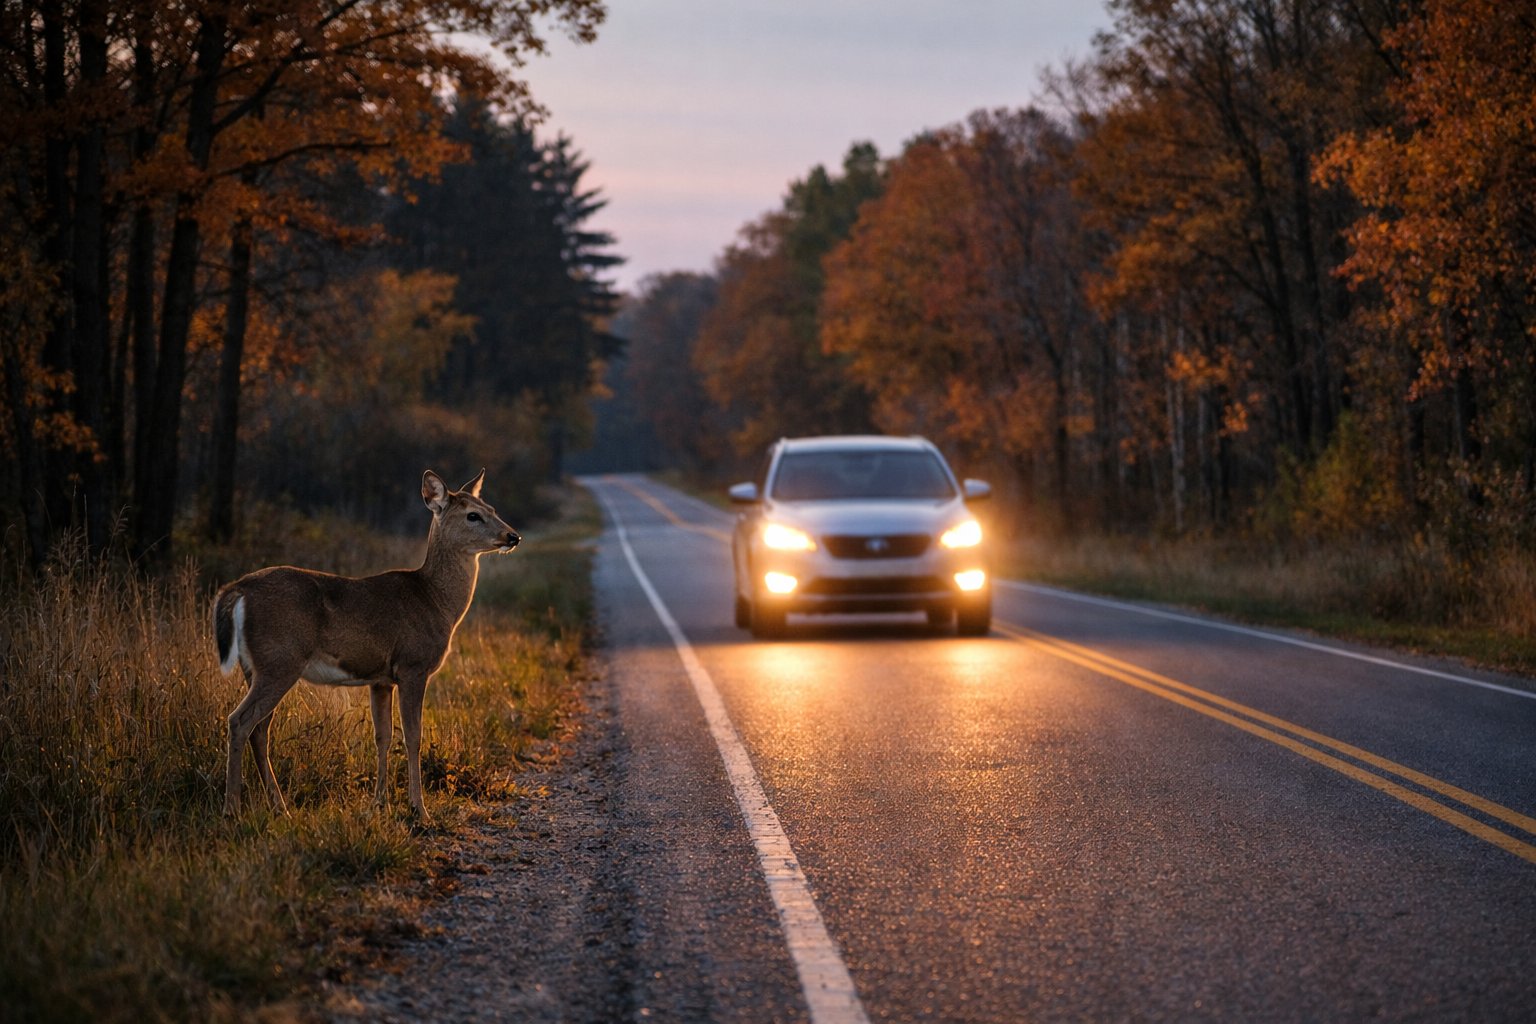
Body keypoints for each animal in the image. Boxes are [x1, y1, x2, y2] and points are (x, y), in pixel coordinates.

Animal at [213, 469, 520, 819]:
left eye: (491, 508)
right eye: (472, 515)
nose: (512, 536)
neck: (434, 601)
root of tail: (238, 589)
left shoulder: (381, 679)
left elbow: (382, 736)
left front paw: (379, 804)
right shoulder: (413, 666)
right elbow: (413, 737)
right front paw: (419, 809)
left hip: (255, 667)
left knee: (259, 728)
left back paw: (280, 807)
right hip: (280, 661)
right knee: (240, 721)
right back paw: (231, 809)